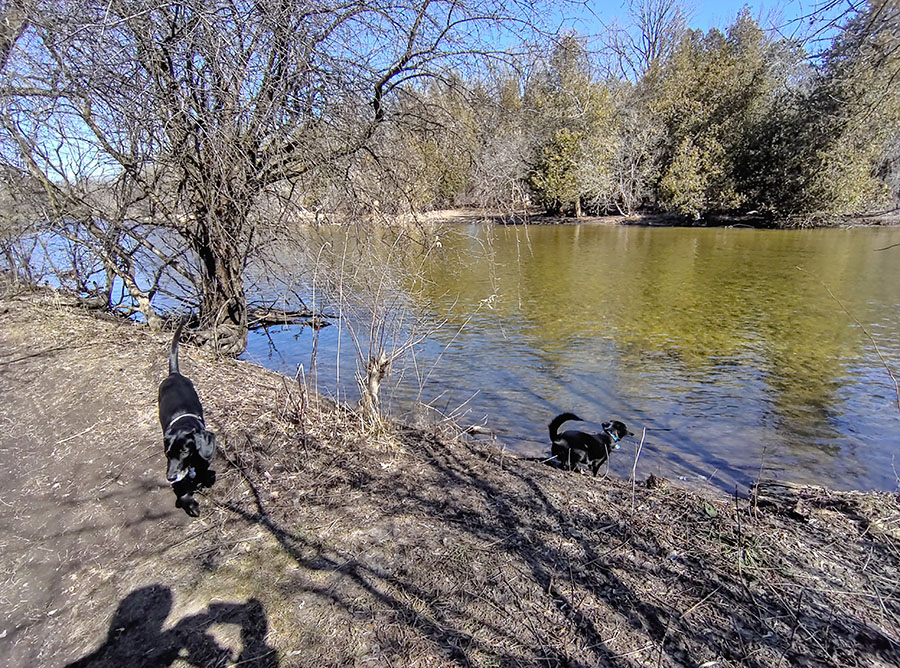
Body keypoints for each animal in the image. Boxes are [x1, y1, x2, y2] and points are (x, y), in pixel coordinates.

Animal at [157, 324, 215, 516]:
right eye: (167, 454)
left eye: (184, 452)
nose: (169, 477)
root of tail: (174, 374)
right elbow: (182, 488)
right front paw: (190, 504)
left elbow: (203, 469)